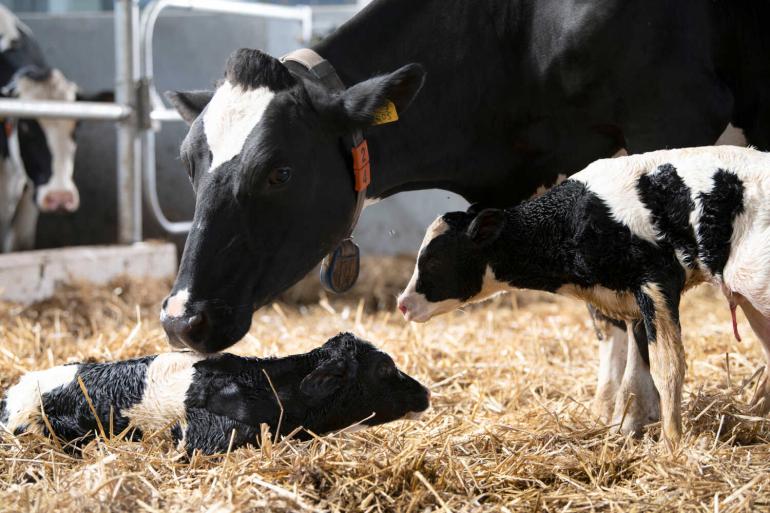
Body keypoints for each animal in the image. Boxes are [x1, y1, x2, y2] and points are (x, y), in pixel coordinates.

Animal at [395, 146, 770, 444]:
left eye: (435, 259)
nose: (402, 304)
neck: (576, 219)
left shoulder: (657, 282)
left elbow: (667, 367)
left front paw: (672, 443)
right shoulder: (632, 299)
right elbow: (636, 374)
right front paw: (625, 428)